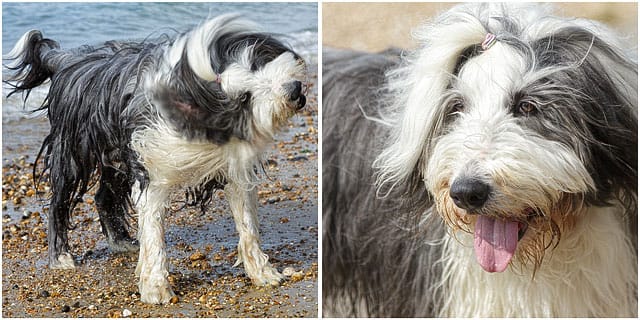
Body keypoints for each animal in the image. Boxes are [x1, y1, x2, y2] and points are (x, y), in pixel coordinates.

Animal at [3, 15, 306, 304]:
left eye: (256, 64)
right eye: (244, 97)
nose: (293, 90)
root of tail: (69, 59)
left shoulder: (233, 166)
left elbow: (247, 224)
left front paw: (263, 273)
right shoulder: (153, 164)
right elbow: (153, 230)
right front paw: (156, 287)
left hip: (117, 153)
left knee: (103, 196)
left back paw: (121, 242)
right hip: (74, 150)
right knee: (58, 203)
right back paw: (61, 256)